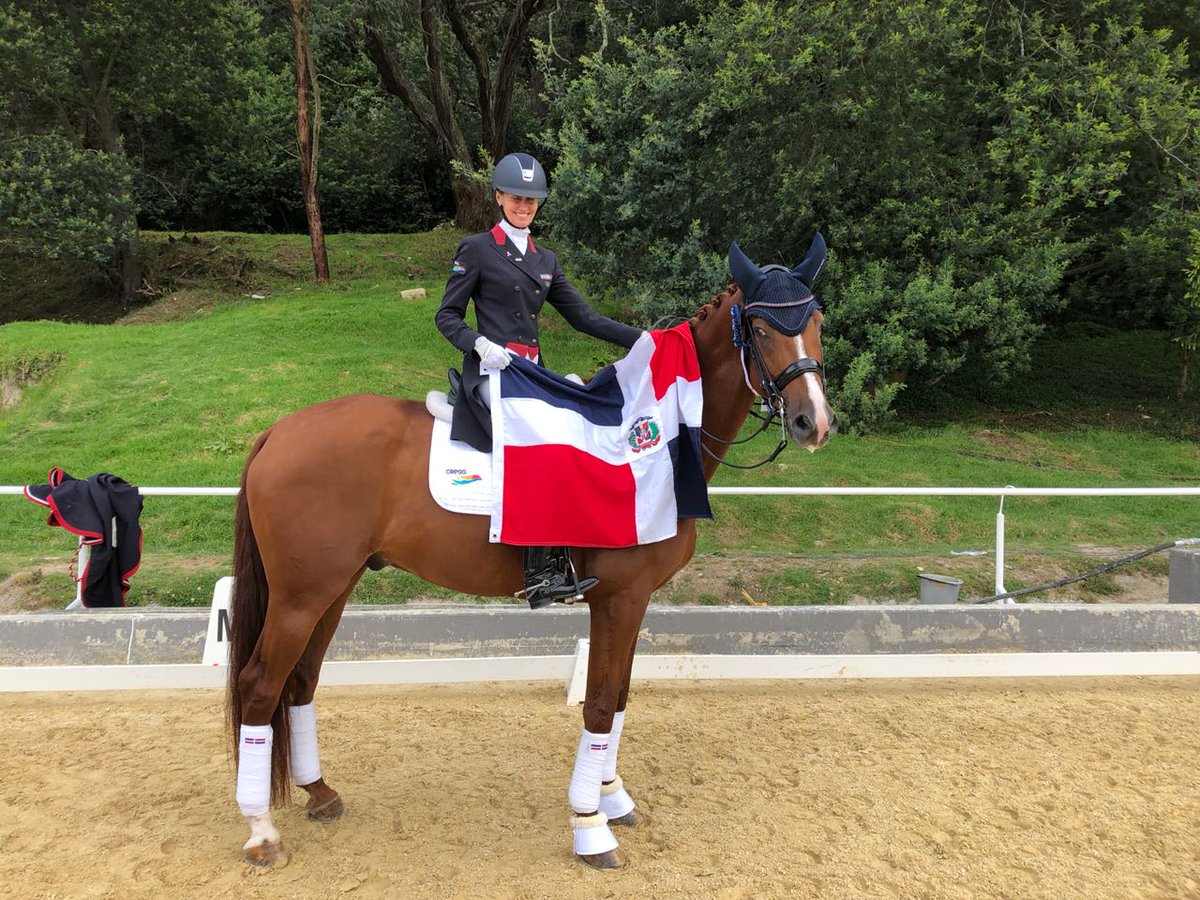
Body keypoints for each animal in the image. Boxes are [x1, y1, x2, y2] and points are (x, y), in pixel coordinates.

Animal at [223, 236, 835, 868]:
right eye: (760, 328)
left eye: (817, 321)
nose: (814, 422)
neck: (657, 439)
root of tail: (279, 431)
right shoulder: (619, 598)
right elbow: (599, 704)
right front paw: (590, 825)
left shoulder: (633, 600)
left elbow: (619, 698)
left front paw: (612, 797)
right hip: (301, 595)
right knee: (260, 684)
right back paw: (262, 832)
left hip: (333, 587)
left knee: (300, 680)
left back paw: (319, 793)